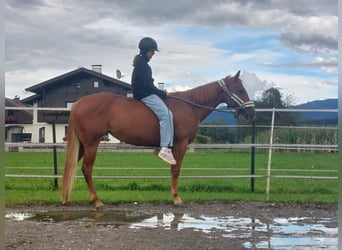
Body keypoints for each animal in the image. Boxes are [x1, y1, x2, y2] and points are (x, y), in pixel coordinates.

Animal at [61, 70, 255, 207]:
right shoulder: (180, 144)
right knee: (86, 169)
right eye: (240, 89)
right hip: (91, 144)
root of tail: (78, 103)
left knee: (71, 167)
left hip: (82, 145)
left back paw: (65, 197)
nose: (251, 112)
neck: (189, 107)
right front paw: (176, 198)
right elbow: (176, 170)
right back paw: (96, 201)